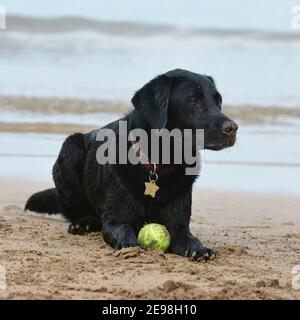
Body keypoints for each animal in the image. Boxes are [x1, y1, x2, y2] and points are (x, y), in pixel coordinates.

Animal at [25, 69, 237, 260]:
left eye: (218, 101)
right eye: (194, 101)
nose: (233, 128)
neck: (158, 164)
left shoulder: (179, 224)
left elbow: (187, 237)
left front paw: (198, 248)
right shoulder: (114, 220)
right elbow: (124, 228)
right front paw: (129, 245)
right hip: (70, 148)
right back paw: (83, 223)